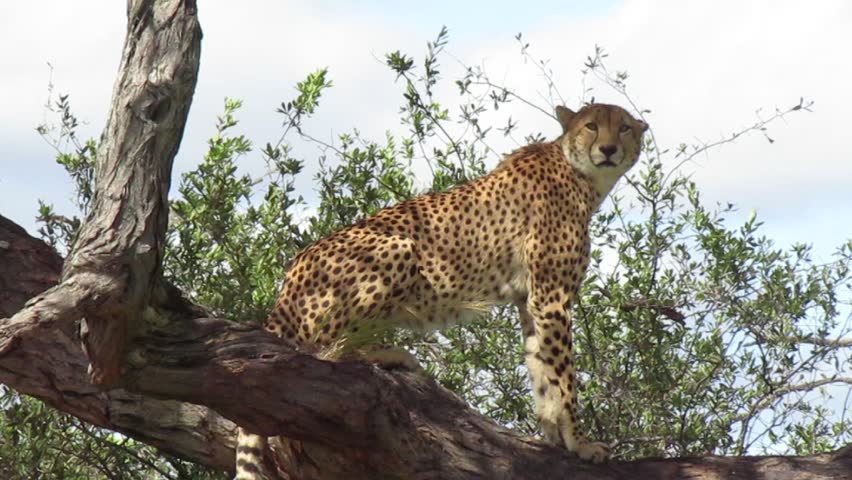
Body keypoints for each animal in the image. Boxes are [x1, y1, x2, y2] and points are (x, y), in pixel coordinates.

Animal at [234, 102, 648, 479]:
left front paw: (553, 438)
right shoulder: (553, 298)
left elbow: (541, 370)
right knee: (323, 349)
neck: (582, 175)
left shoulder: (532, 302)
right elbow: (564, 378)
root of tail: (291, 272)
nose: (608, 149)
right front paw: (581, 443)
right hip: (398, 248)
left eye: (625, 127)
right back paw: (391, 355)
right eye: (592, 125)